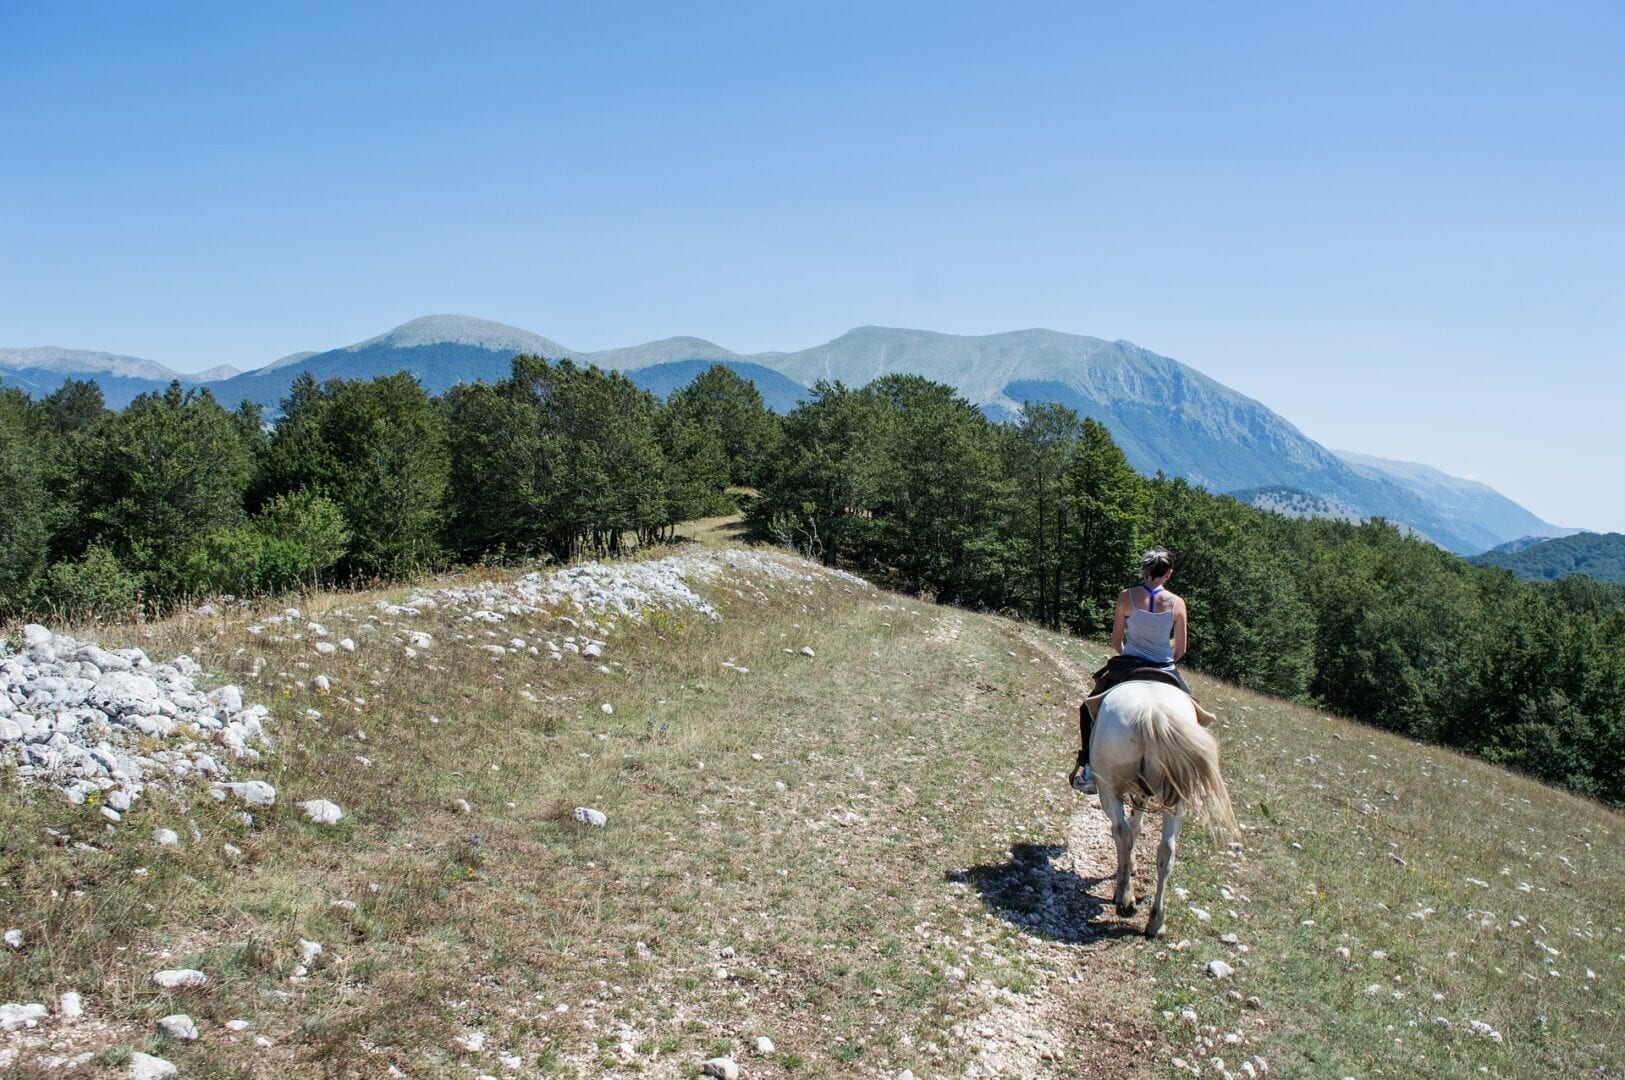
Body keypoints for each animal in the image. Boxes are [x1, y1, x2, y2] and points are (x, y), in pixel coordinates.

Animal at [1092, 682, 1228, 935]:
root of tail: (1151, 713)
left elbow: (1129, 830)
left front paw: (1126, 874)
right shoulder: (1143, 793)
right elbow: (1137, 826)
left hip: (1108, 788)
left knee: (1122, 833)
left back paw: (1125, 899)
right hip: (1176, 798)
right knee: (1167, 850)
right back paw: (1156, 922)